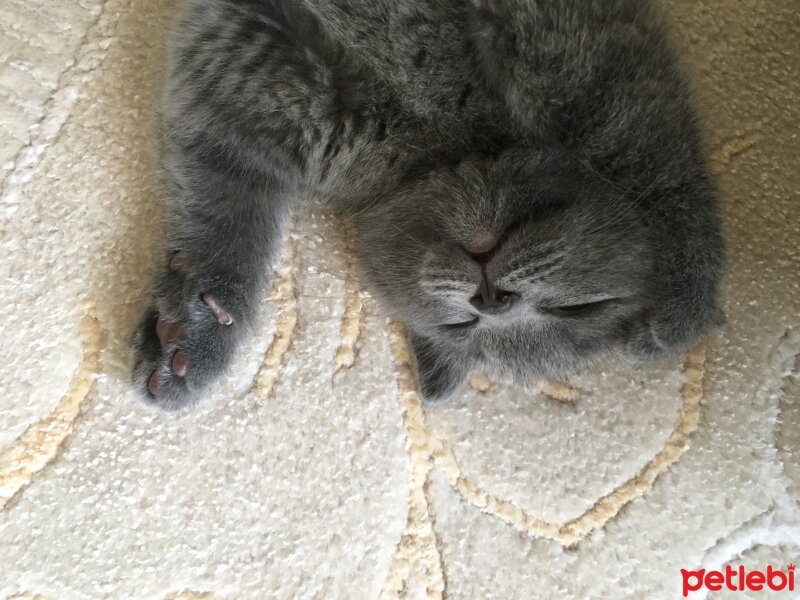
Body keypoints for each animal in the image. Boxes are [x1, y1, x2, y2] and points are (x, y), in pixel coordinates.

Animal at [131, 0, 724, 408]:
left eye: (461, 325)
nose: (492, 299)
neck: (440, 138)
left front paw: (195, 329)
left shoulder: (247, 71)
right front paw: (683, 307)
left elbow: (219, 194)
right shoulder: (575, 51)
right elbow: (650, 154)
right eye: (584, 307)